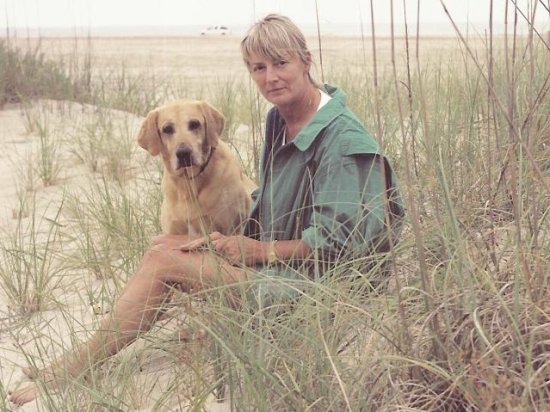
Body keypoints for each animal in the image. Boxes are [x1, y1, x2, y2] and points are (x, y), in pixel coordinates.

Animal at [138, 98, 258, 237]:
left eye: (194, 124)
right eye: (167, 129)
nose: (183, 153)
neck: (188, 184)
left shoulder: (230, 228)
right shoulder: (173, 232)